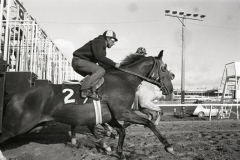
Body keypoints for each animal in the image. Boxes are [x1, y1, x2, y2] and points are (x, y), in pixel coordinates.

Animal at [0, 51, 174, 159]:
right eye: (164, 68)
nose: (170, 88)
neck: (124, 80)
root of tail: (16, 95)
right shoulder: (122, 112)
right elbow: (148, 122)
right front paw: (168, 146)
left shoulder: (111, 116)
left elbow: (122, 130)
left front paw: (118, 151)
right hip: (17, 126)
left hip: (31, 126)